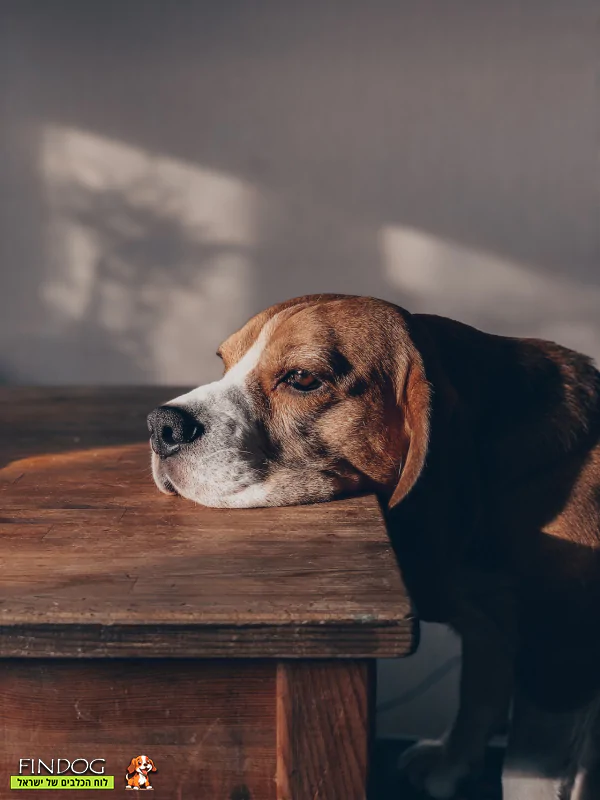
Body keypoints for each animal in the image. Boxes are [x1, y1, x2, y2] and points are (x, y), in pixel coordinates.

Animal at [149, 296, 600, 796]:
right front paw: (451, 762)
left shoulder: (559, 653)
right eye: (225, 362)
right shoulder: (489, 628)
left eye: (302, 379)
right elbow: (478, 696)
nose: (161, 426)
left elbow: (524, 770)